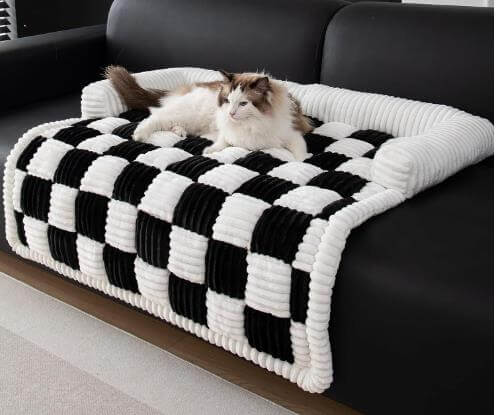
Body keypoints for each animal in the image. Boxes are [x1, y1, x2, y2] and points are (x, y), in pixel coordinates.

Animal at [106, 66, 312, 161]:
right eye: (228, 100)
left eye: (243, 103)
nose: (231, 114)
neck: (252, 123)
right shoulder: (227, 132)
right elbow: (222, 143)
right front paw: (209, 151)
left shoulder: (293, 136)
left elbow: (300, 155)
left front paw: (299, 163)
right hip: (185, 113)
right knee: (154, 117)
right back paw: (139, 135)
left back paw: (179, 132)